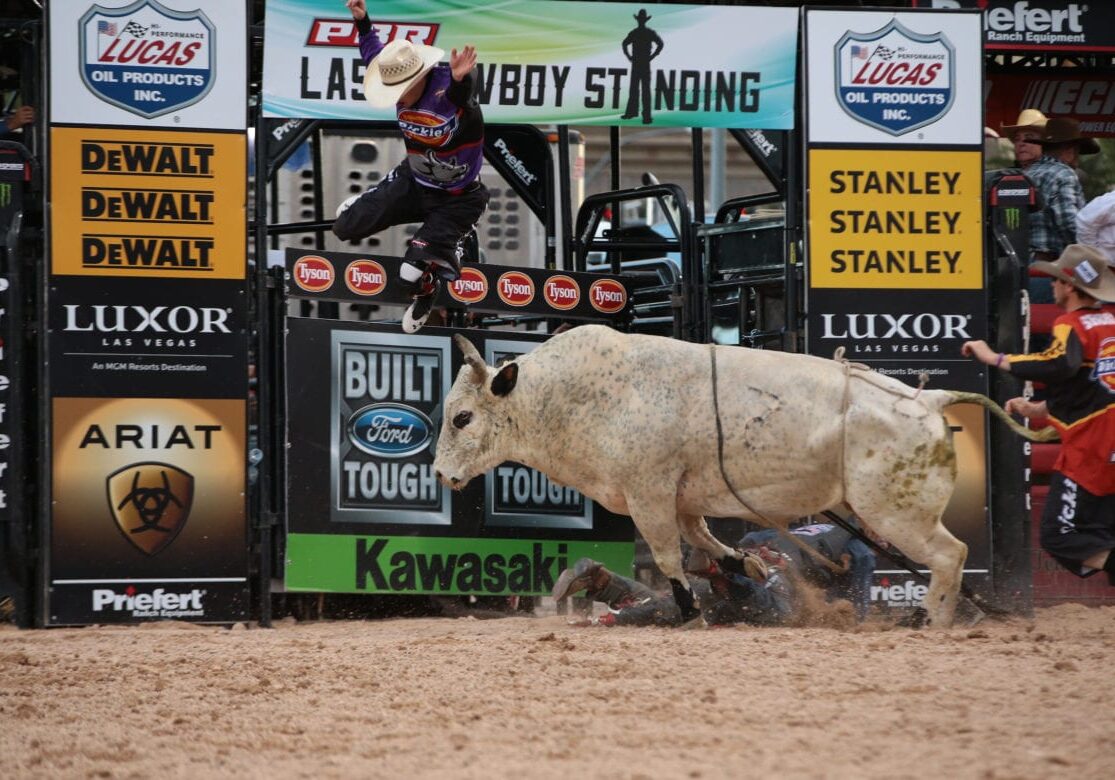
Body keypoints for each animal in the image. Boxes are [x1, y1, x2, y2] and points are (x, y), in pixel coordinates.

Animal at [432, 325, 1046, 628]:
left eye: (462, 417)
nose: (439, 473)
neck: (580, 395)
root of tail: (927, 398)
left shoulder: (649, 493)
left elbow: (669, 557)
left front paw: (689, 613)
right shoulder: (681, 497)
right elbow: (704, 541)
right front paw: (746, 564)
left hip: (898, 511)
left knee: (949, 556)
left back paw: (928, 617)